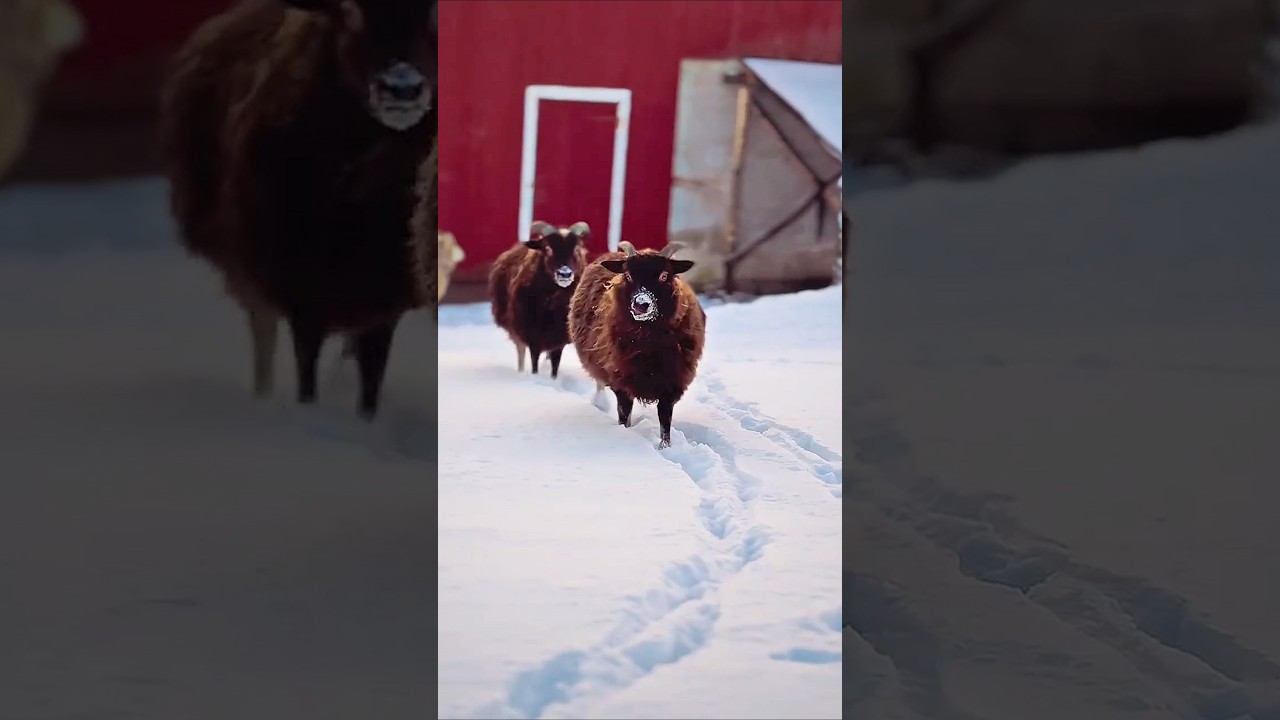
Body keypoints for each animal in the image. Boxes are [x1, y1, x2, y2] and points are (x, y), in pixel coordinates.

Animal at [159, 0, 437, 419]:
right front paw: (307, 410)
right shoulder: (299, 286)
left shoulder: (385, 295)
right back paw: (262, 397)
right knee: (262, 331)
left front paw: (366, 420)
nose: (402, 88)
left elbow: (371, 377)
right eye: (350, 12)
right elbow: (306, 369)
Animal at [487, 220, 590, 378]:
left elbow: (555, 366)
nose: (565, 274)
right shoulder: (532, 336)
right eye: (547, 248)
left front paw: (553, 379)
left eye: (576, 249)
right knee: (521, 352)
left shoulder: (559, 340)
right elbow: (534, 363)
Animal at [567, 241, 706, 448]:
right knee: (600, 384)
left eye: (664, 275)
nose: (641, 304)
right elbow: (624, 416)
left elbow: (665, 421)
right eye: (628, 275)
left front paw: (665, 447)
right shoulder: (621, 382)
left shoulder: (672, 384)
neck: (648, 345)